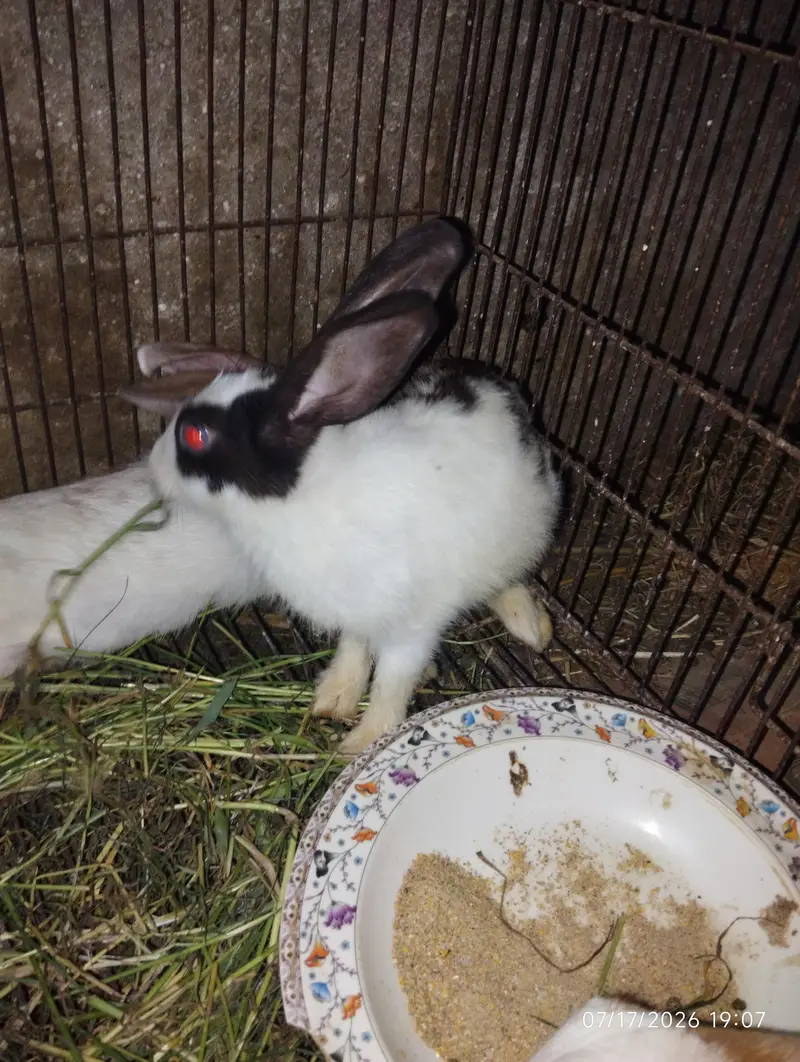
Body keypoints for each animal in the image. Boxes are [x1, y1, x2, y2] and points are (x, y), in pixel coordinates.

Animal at [119, 218, 562, 755]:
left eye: (195, 435)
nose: (154, 469)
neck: (303, 497)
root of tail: (503, 387)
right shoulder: (356, 613)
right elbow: (353, 651)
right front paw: (331, 700)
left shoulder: (413, 625)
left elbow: (393, 681)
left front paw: (362, 743)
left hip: (524, 530)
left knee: (510, 578)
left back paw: (530, 626)